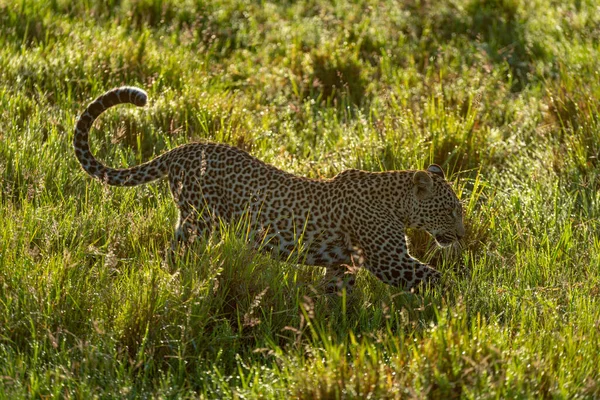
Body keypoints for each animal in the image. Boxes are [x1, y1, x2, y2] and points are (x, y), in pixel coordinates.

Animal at [75, 86, 466, 290]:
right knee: (180, 254)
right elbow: (436, 278)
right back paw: (178, 284)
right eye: (450, 210)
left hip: (190, 222)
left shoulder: (342, 266)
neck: (396, 201)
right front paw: (461, 304)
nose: (462, 234)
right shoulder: (389, 260)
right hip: (200, 222)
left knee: (172, 251)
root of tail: (182, 148)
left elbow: (334, 294)